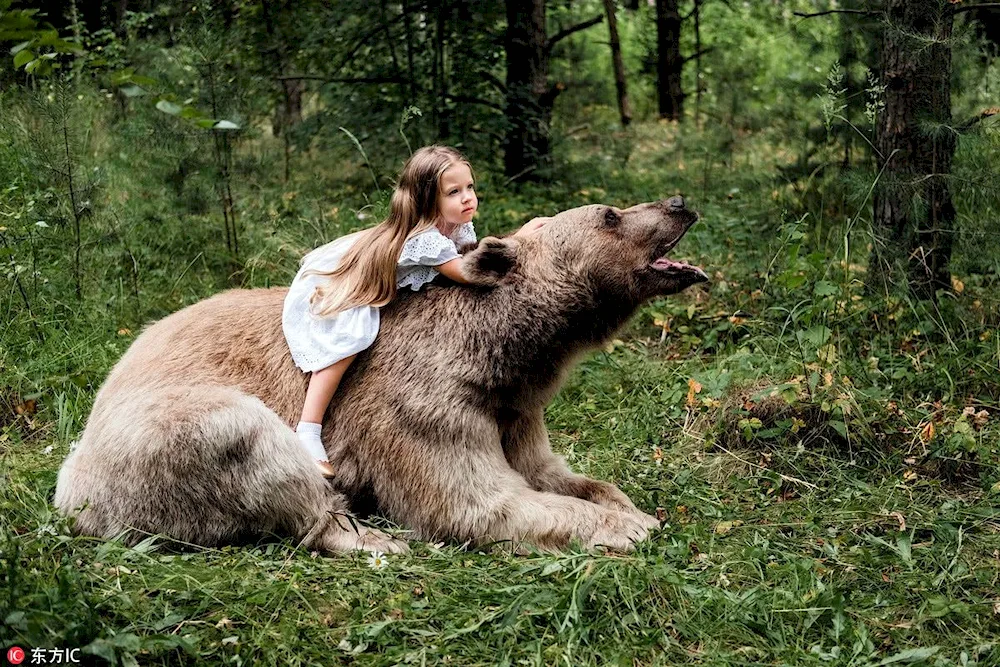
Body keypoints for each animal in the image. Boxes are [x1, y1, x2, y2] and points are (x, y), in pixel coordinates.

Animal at [52, 198, 704, 552]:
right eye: (611, 216)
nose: (679, 204)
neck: (500, 345)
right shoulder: (422, 397)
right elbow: (474, 499)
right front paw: (633, 526)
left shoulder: (513, 401)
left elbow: (546, 469)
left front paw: (622, 501)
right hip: (153, 440)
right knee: (249, 440)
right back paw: (367, 534)